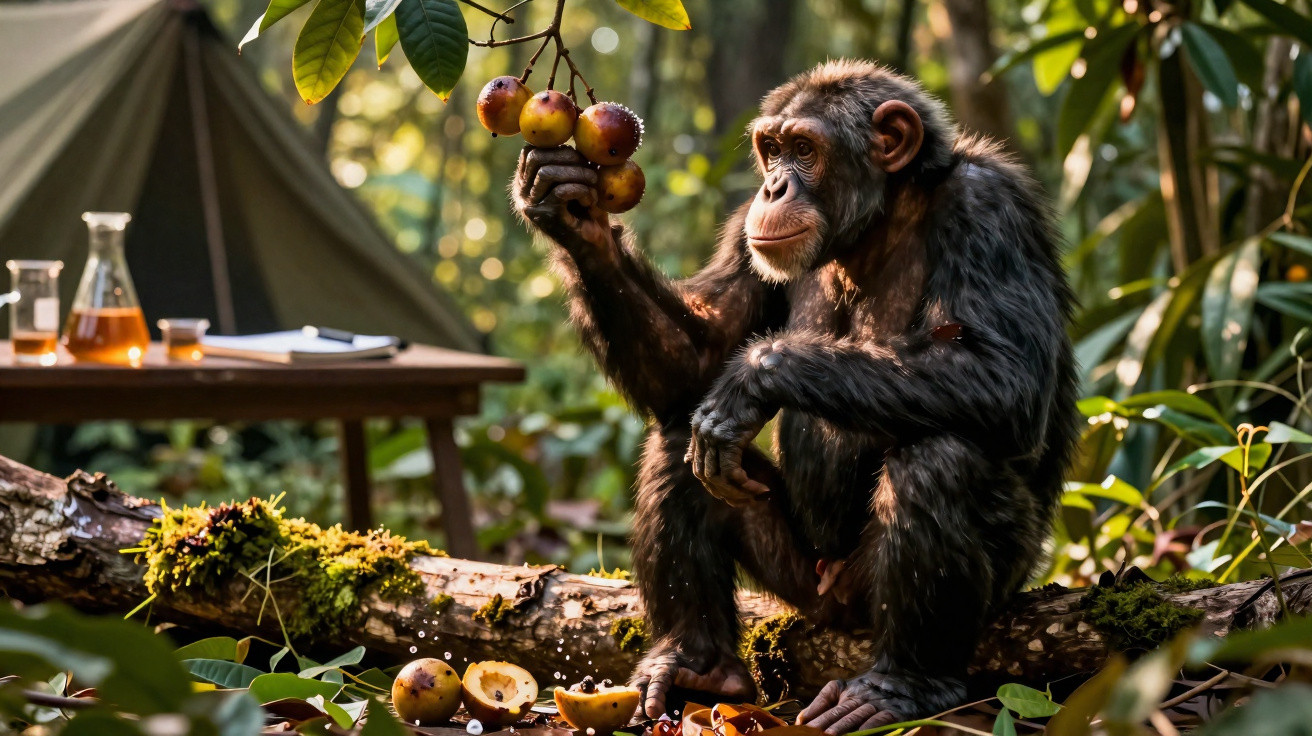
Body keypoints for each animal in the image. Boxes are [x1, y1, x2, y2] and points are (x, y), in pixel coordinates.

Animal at [511, 60, 1078, 733]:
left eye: (805, 149)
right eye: (772, 149)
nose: (774, 188)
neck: (877, 222)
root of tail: (838, 609)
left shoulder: (990, 208)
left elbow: (1005, 376)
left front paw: (751, 381)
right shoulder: (743, 231)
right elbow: (695, 363)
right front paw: (569, 205)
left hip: (910, 584)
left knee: (941, 460)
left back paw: (902, 684)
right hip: (799, 578)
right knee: (679, 443)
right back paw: (695, 663)